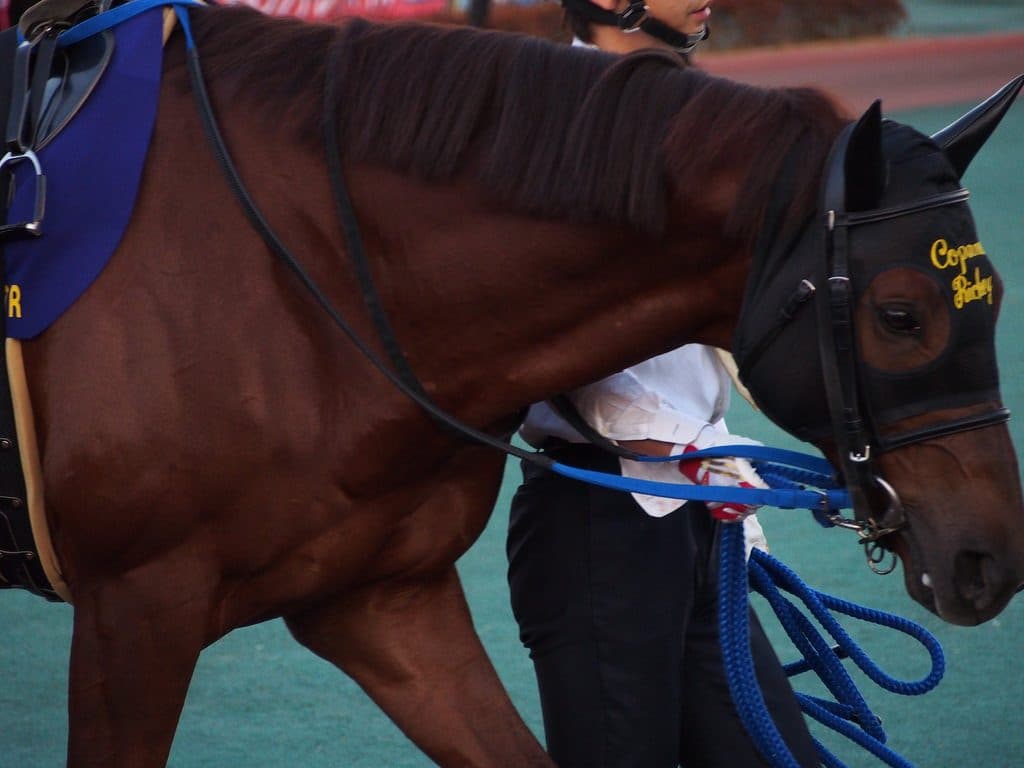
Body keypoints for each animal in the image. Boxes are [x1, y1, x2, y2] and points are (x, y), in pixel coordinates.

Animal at [3, 3, 1022, 765]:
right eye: (901, 315)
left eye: (996, 295)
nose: (990, 559)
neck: (291, 271)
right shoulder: (137, 611)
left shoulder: (378, 597)